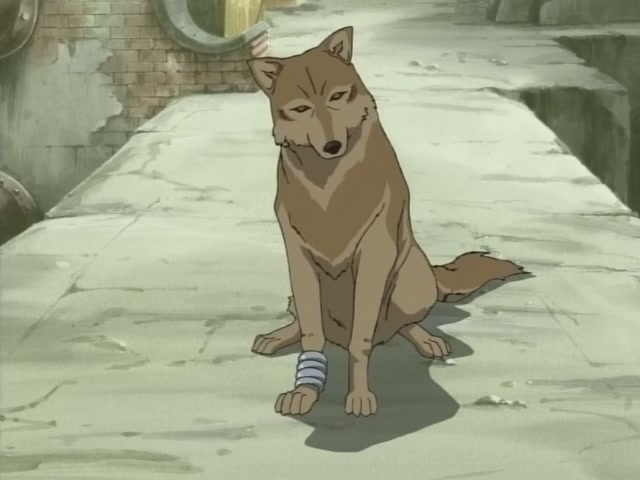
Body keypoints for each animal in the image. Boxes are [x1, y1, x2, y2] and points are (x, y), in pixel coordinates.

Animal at [247, 26, 527, 417]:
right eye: (302, 109)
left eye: (337, 96)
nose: (332, 146)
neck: (328, 183)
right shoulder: (298, 257)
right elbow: (312, 334)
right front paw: (305, 390)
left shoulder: (375, 255)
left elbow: (360, 340)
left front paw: (359, 395)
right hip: (299, 293)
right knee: (305, 321)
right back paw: (278, 335)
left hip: (412, 282)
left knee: (401, 325)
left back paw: (426, 338)